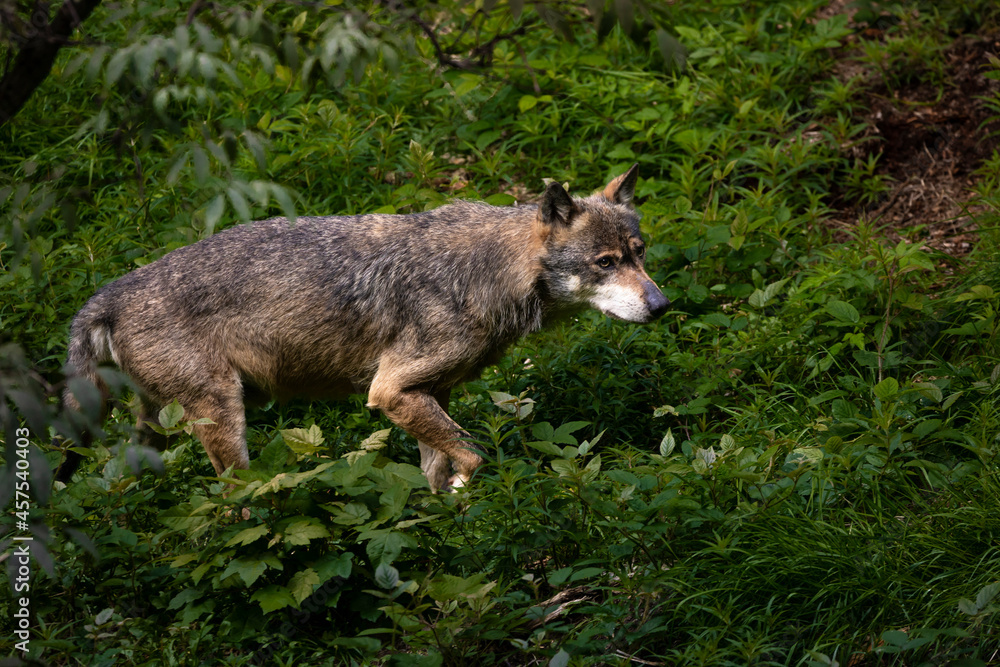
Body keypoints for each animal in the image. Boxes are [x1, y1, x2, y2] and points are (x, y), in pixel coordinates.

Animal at [56, 165, 669, 491]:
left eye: (640, 253)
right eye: (606, 263)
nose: (662, 306)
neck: (489, 270)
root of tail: (108, 294)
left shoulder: (427, 393)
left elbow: (436, 469)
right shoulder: (389, 392)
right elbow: (473, 456)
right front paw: (466, 492)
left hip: (151, 433)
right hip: (223, 418)